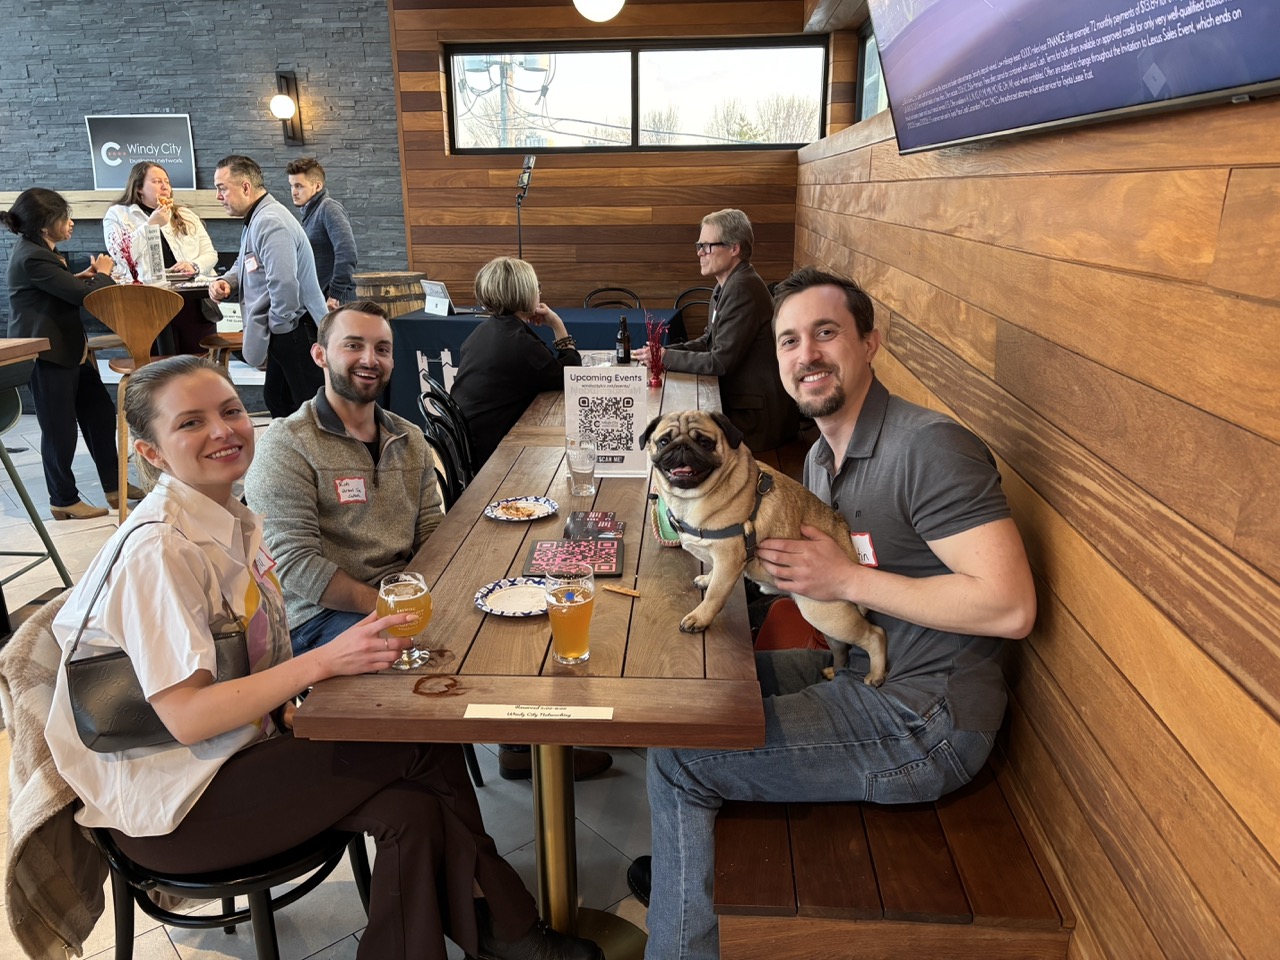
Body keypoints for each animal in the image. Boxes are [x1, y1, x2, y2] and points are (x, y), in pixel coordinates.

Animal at [641, 410, 887, 686]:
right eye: (664, 441)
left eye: (705, 443)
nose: (681, 447)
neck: (691, 498)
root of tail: (850, 553)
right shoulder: (723, 560)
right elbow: (714, 575)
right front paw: (706, 578)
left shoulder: (728, 558)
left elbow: (716, 594)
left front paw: (700, 618)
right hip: (828, 624)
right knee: (841, 648)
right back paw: (836, 671)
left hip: (827, 614)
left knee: (875, 634)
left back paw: (875, 674)